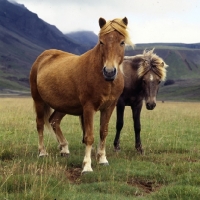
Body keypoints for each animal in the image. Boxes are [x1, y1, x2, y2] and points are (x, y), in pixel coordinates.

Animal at [29, 17, 133, 173]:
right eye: (101, 42)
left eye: (122, 42)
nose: (109, 72)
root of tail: (42, 57)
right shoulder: (88, 108)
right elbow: (89, 136)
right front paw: (87, 166)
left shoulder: (109, 107)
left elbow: (103, 132)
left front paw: (102, 159)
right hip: (39, 101)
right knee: (40, 124)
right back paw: (42, 152)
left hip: (63, 105)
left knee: (54, 121)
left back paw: (64, 148)